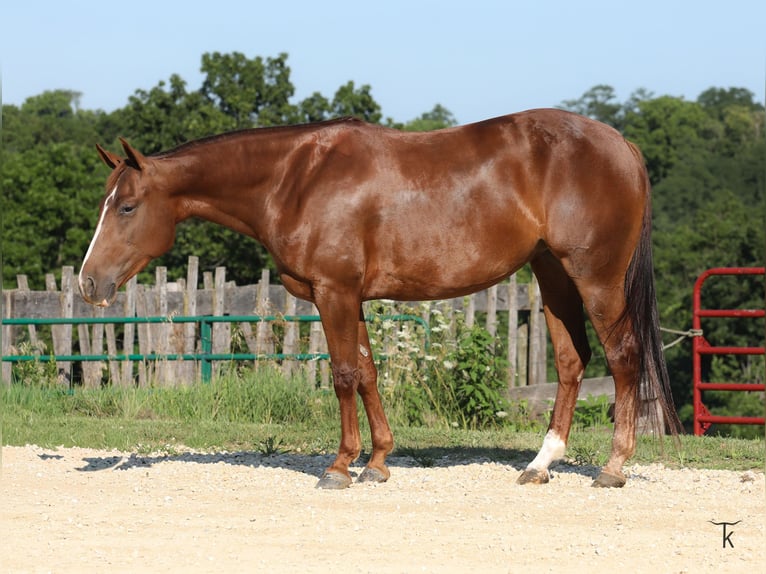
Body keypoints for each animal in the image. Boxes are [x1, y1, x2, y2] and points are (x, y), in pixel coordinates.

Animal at [78, 108, 681, 489]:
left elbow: (344, 374)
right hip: (552, 277)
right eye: (106, 203)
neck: (296, 178)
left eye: (127, 206)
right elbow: (367, 372)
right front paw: (378, 462)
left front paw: (340, 467)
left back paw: (613, 467)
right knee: (572, 362)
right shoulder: (351, 296)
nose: (87, 283)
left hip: (595, 278)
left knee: (624, 358)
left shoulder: (334, 292)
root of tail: (621, 145)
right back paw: (540, 464)